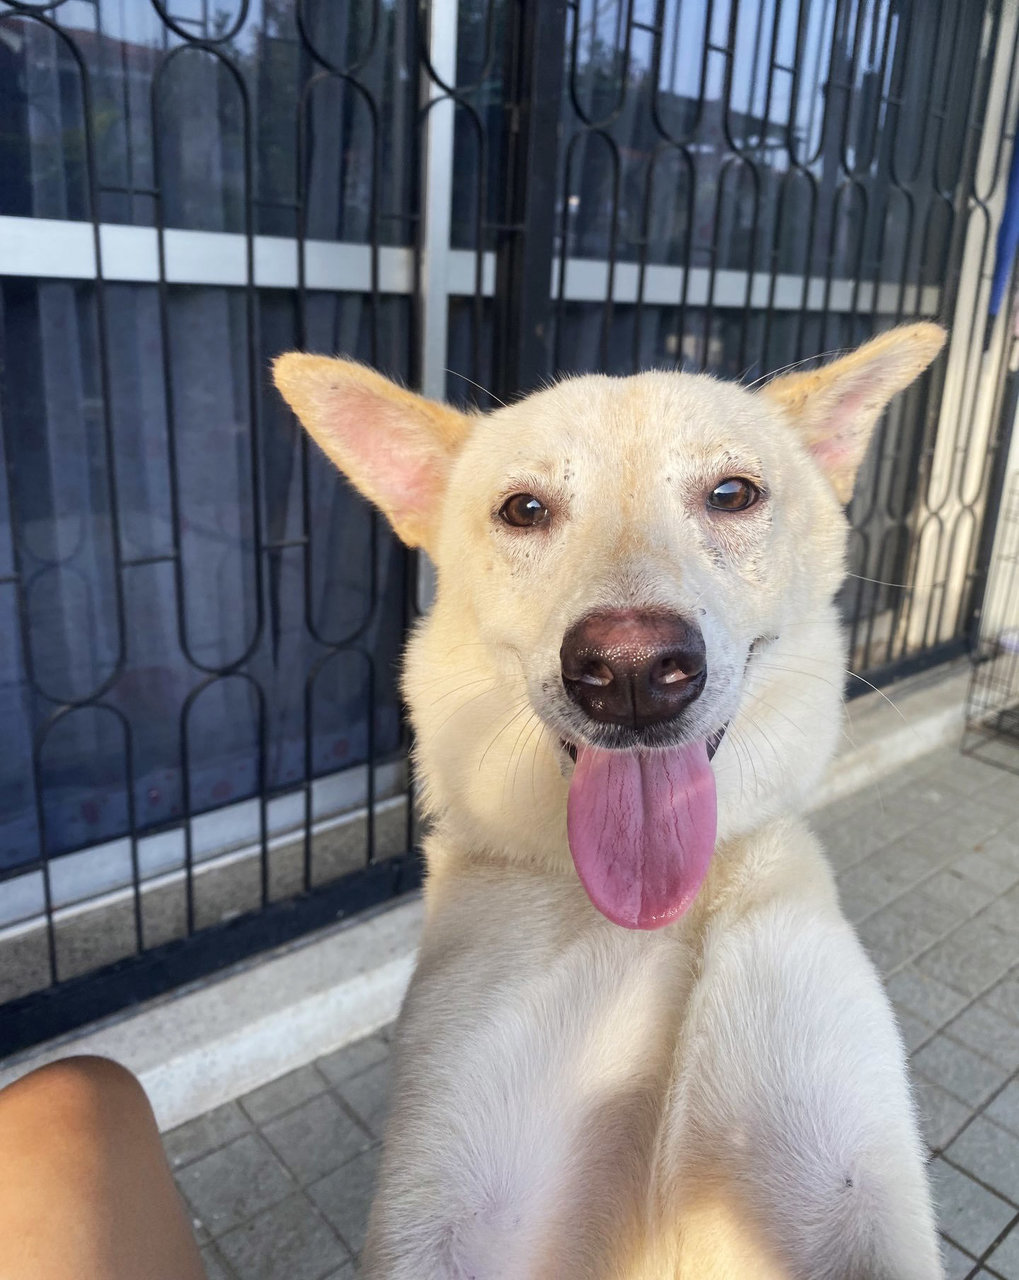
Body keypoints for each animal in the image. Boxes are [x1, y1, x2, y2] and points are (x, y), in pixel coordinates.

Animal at [276, 322, 947, 1280]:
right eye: (523, 510)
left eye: (732, 494)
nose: (629, 670)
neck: (653, 925)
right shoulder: (450, 1196)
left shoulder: (839, 1181)